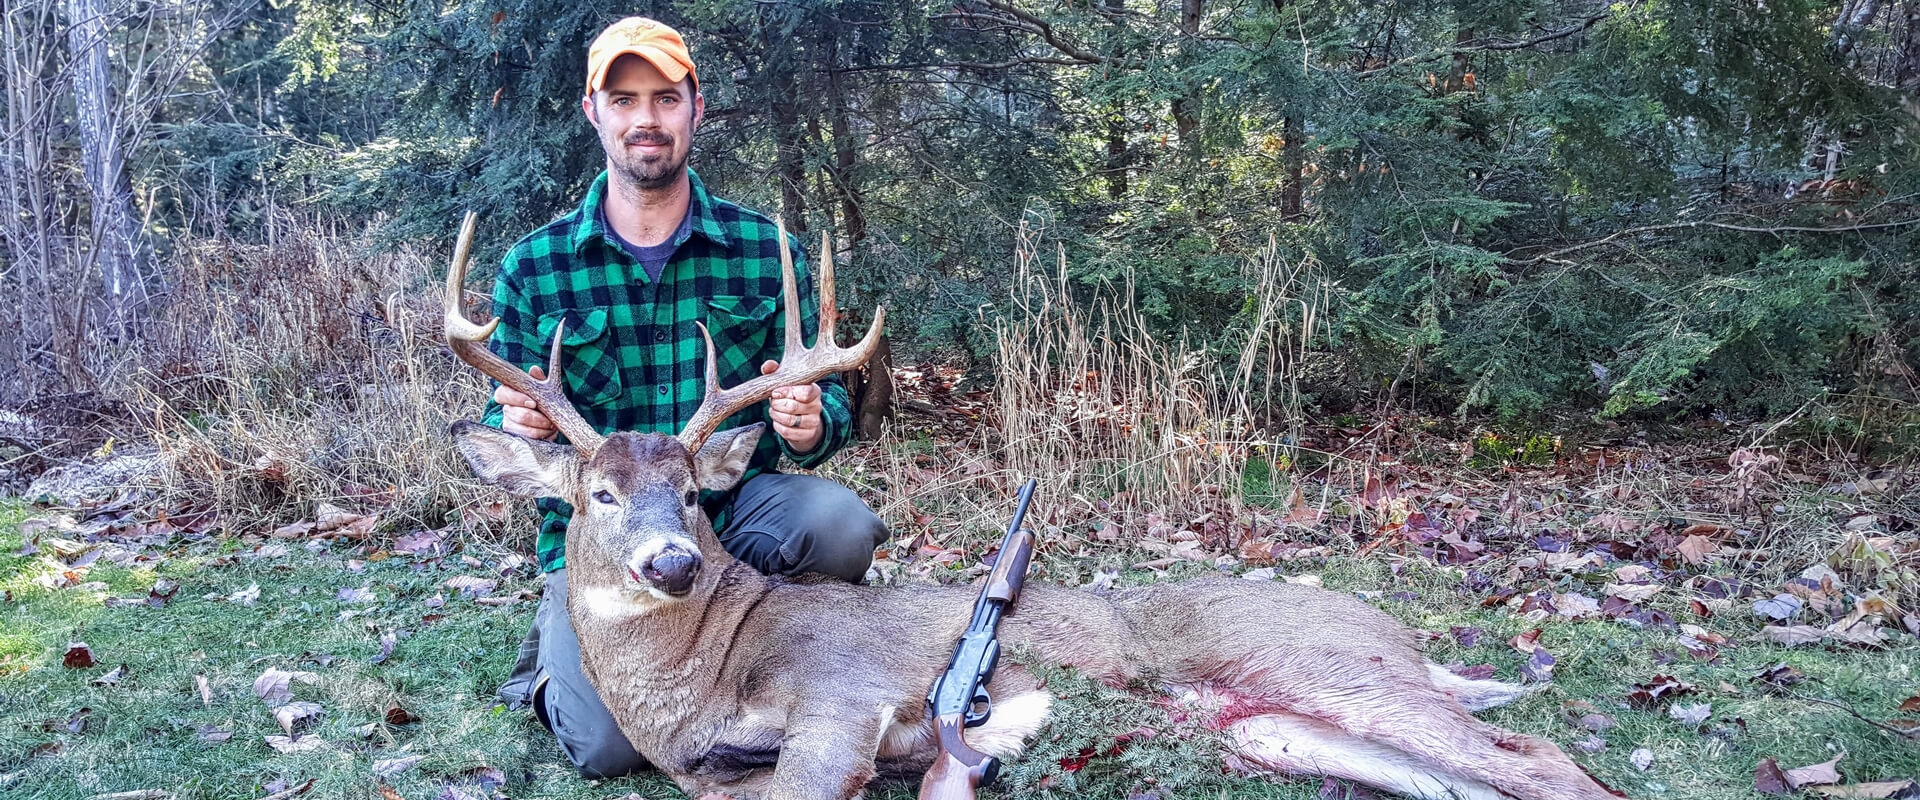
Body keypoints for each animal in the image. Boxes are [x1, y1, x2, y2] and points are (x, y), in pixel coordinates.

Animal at [440, 213, 1624, 800]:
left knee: (1545, 763)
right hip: (1282, 731)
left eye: (692, 493)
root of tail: (1401, 630)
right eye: (598, 493)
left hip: (1328, 665)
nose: (673, 563)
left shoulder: (842, 692)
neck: (701, 679)